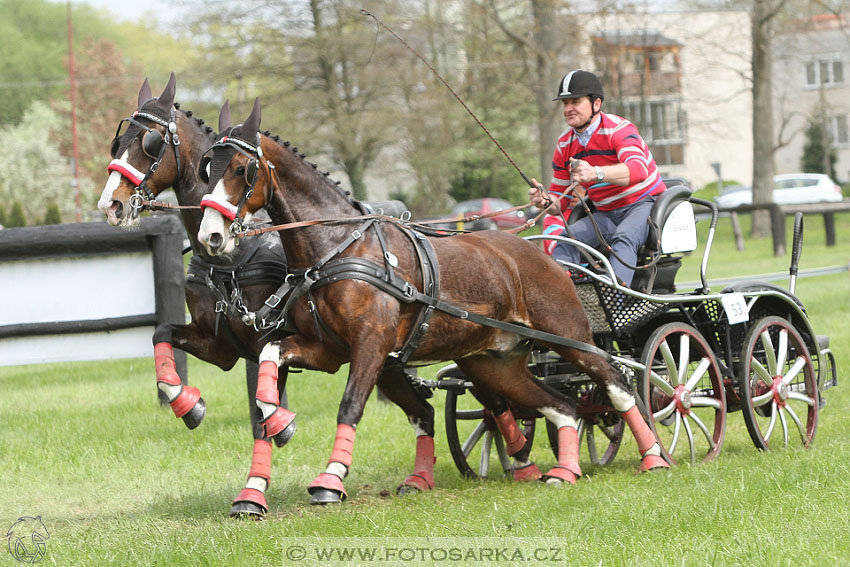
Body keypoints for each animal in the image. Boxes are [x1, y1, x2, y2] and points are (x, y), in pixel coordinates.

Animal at [97, 75, 292, 520]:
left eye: (150, 143)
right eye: (117, 143)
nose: (110, 204)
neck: (231, 257)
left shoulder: (265, 342)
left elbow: (262, 412)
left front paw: (254, 491)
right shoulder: (219, 345)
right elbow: (161, 335)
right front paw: (188, 405)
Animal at [195, 100, 664, 504]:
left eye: (242, 169)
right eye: (206, 168)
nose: (210, 236)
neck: (338, 246)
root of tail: (543, 253)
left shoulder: (370, 345)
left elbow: (350, 405)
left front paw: (330, 479)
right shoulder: (327, 351)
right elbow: (270, 356)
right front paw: (276, 421)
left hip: (568, 337)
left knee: (617, 385)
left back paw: (654, 456)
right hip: (493, 363)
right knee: (563, 405)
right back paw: (564, 470)